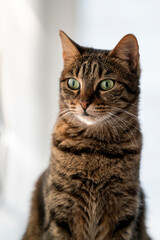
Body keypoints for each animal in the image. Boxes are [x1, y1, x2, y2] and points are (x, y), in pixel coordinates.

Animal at [22, 31, 151, 239]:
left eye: (106, 84)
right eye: (73, 83)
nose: (83, 103)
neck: (93, 147)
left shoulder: (125, 214)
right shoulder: (60, 212)